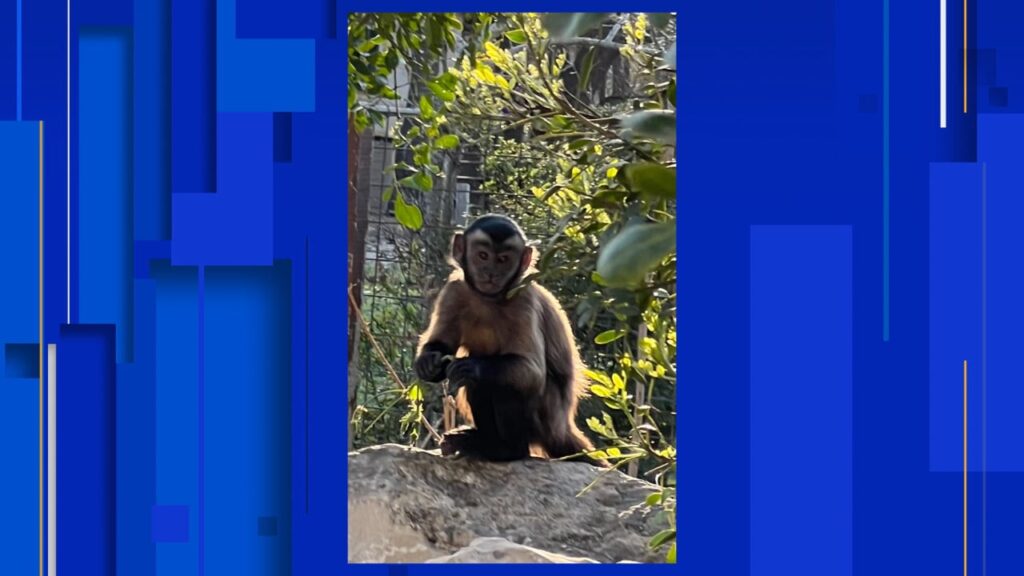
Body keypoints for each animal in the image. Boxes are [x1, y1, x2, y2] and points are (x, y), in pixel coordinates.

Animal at [413, 214, 607, 467]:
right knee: (480, 386)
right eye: (483, 256)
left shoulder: (523, 298)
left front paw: (472, 366)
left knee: (499, 383)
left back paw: (506, 450)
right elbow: (441, 346)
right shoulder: (455, 289)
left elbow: (532, 372)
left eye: (503, 260)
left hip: (545, 419)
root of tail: (562, 427)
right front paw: (428, 363)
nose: (490, 273)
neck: (489, 299)